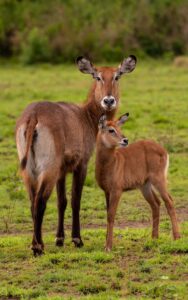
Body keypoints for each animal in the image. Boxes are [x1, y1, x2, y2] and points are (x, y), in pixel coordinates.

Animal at [15, 55, 137, 254]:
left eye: (117, 76)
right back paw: (38, 246)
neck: (85, 116)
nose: (109, 101)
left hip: (29, 171)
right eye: (97, 77)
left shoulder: (62, 171)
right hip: (48, 169)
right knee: (40, 202)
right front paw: (77, 239)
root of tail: (34, 114)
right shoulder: (81, 165)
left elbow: (62, 201)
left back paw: (37, 243)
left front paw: (59, 238)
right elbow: (75, 200)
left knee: (32, 202)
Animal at [95, 113, 181, 252]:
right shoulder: (107, 191)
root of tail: (163, 149)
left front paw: (108, 246)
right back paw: (154, 238)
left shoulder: (117, 191)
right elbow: (107, 214)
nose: (125, 140)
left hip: (159, 180)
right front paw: (105, 244)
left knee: (169, 201)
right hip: (145, 186)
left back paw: (177, 237)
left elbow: (111, 215)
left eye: (119, 128)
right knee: (156, 204)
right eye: (111, 130)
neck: (109, 163)